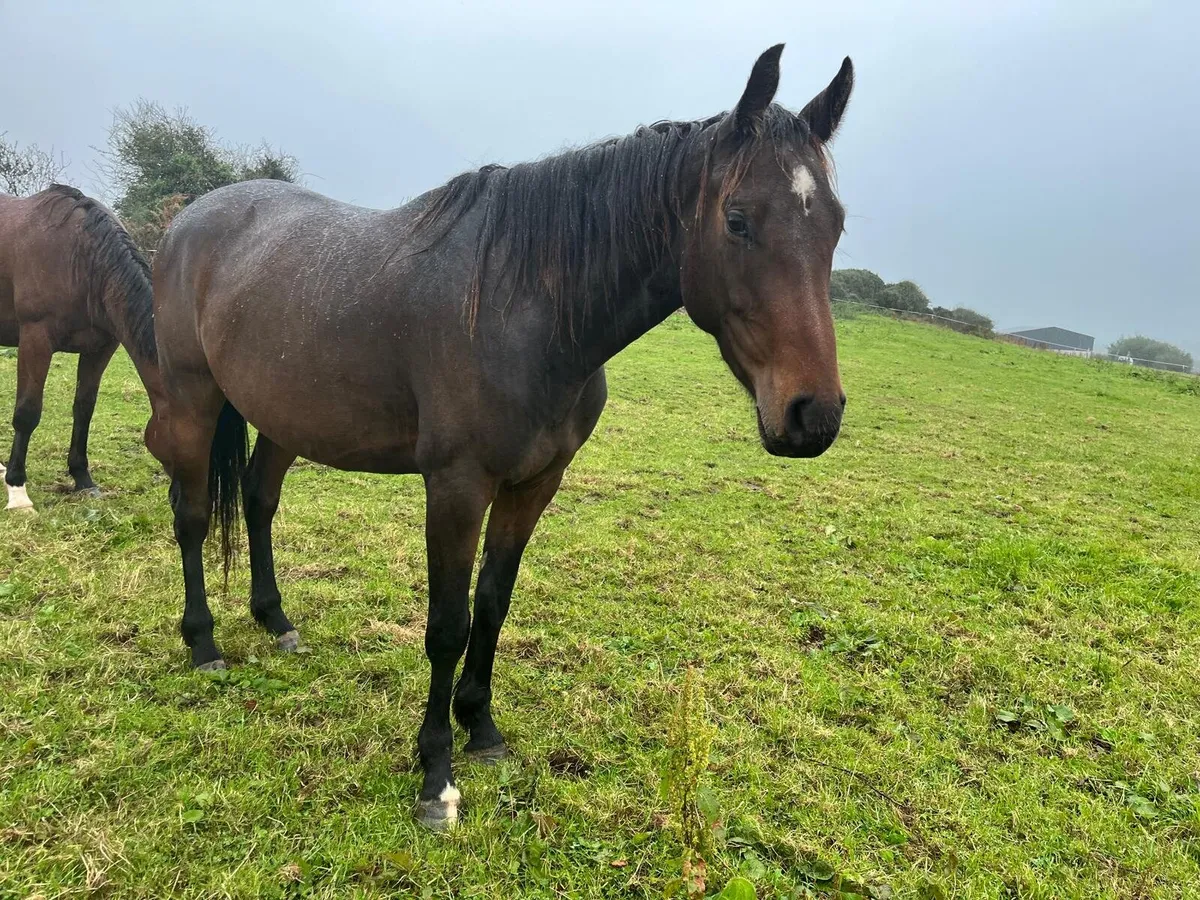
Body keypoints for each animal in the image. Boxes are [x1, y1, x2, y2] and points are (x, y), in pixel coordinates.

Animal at [0, 184, 164, 512]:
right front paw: (17, 491)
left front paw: (82, 479)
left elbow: (84, 408)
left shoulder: (100, 348)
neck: (82, 258)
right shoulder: (35, 340)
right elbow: (27, 411)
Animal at [150, 44, 854, 828]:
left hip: (284, 416)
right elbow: (448, 625)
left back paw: (275, 621)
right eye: (737, 220)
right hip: (190, 398)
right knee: (191, 515)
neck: (527, 309)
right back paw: (203, 642)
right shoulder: (457, 488)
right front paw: (436, 776)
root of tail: (191, 218)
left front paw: (481, 729)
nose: (814, 415)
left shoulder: (534, 484)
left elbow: (493, 604)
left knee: (259, 501)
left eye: (834, 225)